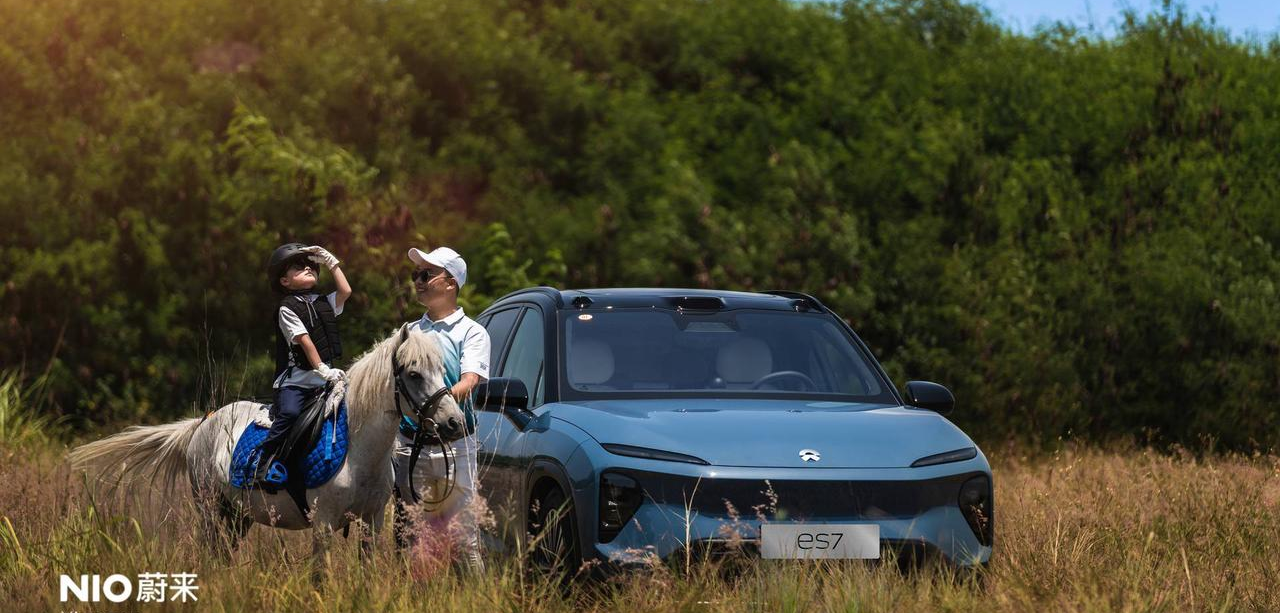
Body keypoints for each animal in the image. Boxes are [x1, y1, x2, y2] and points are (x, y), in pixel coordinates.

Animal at [67, 323, 463, 568]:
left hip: (238, 515)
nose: (454, 423)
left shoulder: (372, 523)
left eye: (441, 370)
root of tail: (203, 423)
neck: (357, 452)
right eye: (413, 373)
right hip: (211, 510)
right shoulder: (323, 525)